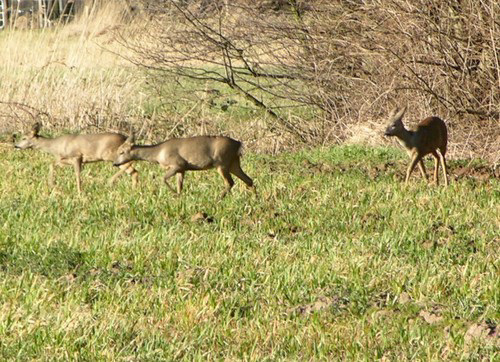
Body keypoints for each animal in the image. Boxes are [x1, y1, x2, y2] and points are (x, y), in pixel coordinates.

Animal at [113, 134, 254, 199]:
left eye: (122, 152)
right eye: (118, 150)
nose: (115, 163)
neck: (158, 154)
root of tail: (238, 144)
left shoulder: (177, 164)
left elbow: (163, 179)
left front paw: (174, 194)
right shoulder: (182, 169)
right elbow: (180, 185)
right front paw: (179, 196)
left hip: (222, 162)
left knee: (230, 182)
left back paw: (218, 198)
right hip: (234, 162)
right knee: (249, 180)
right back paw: (255, 198)